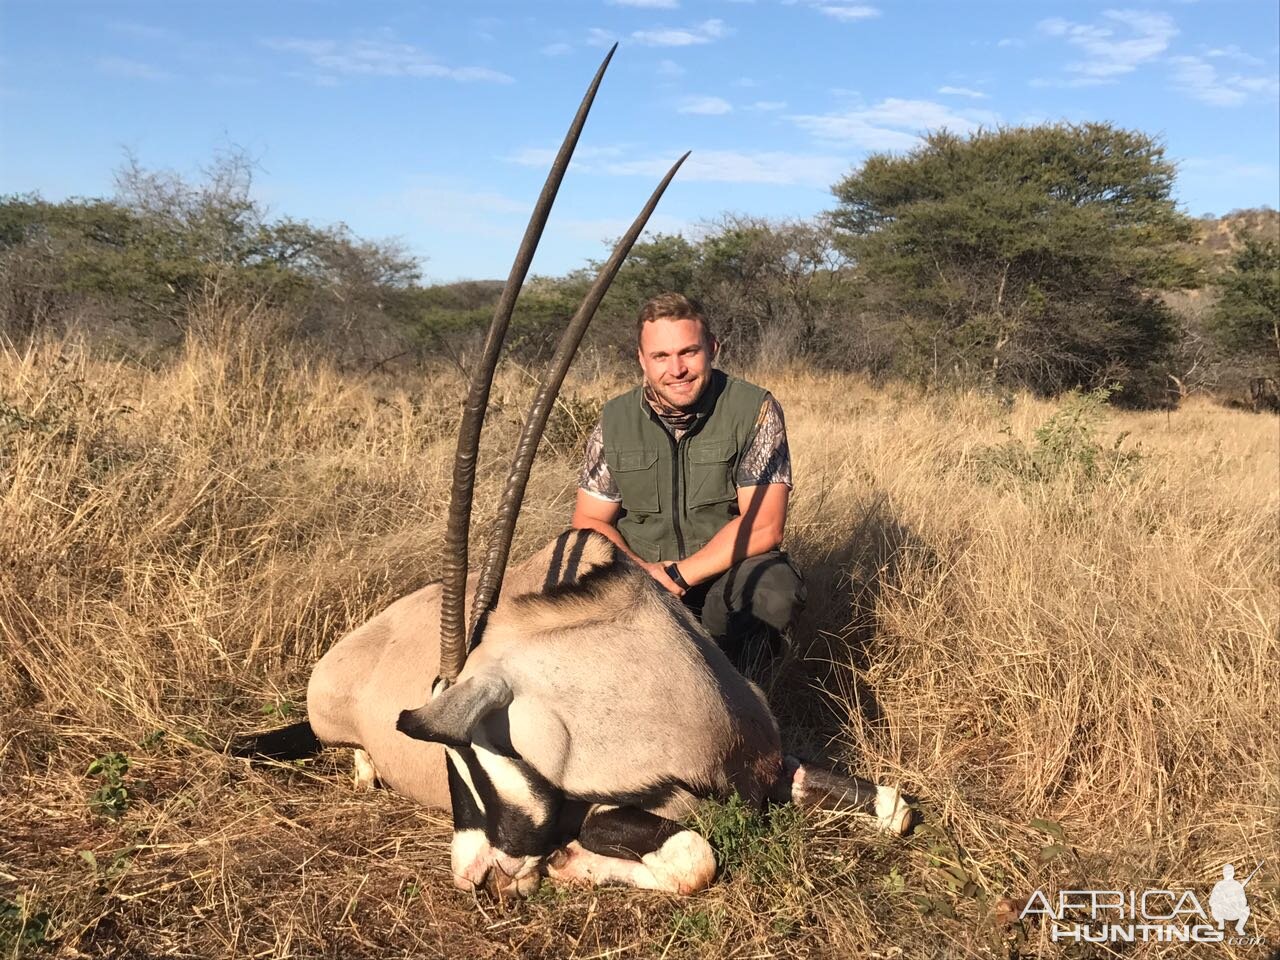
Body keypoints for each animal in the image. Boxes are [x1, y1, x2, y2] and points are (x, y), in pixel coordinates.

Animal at [230, 47, 911, 901]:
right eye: (446, 758)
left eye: (473, 756)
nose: (478, 876)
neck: (663, 687)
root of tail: (346, 649)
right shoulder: (617, 807)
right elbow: (693, 854)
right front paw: (573, 862)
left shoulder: (775, 764)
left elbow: (896, 807)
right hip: (333, 724)